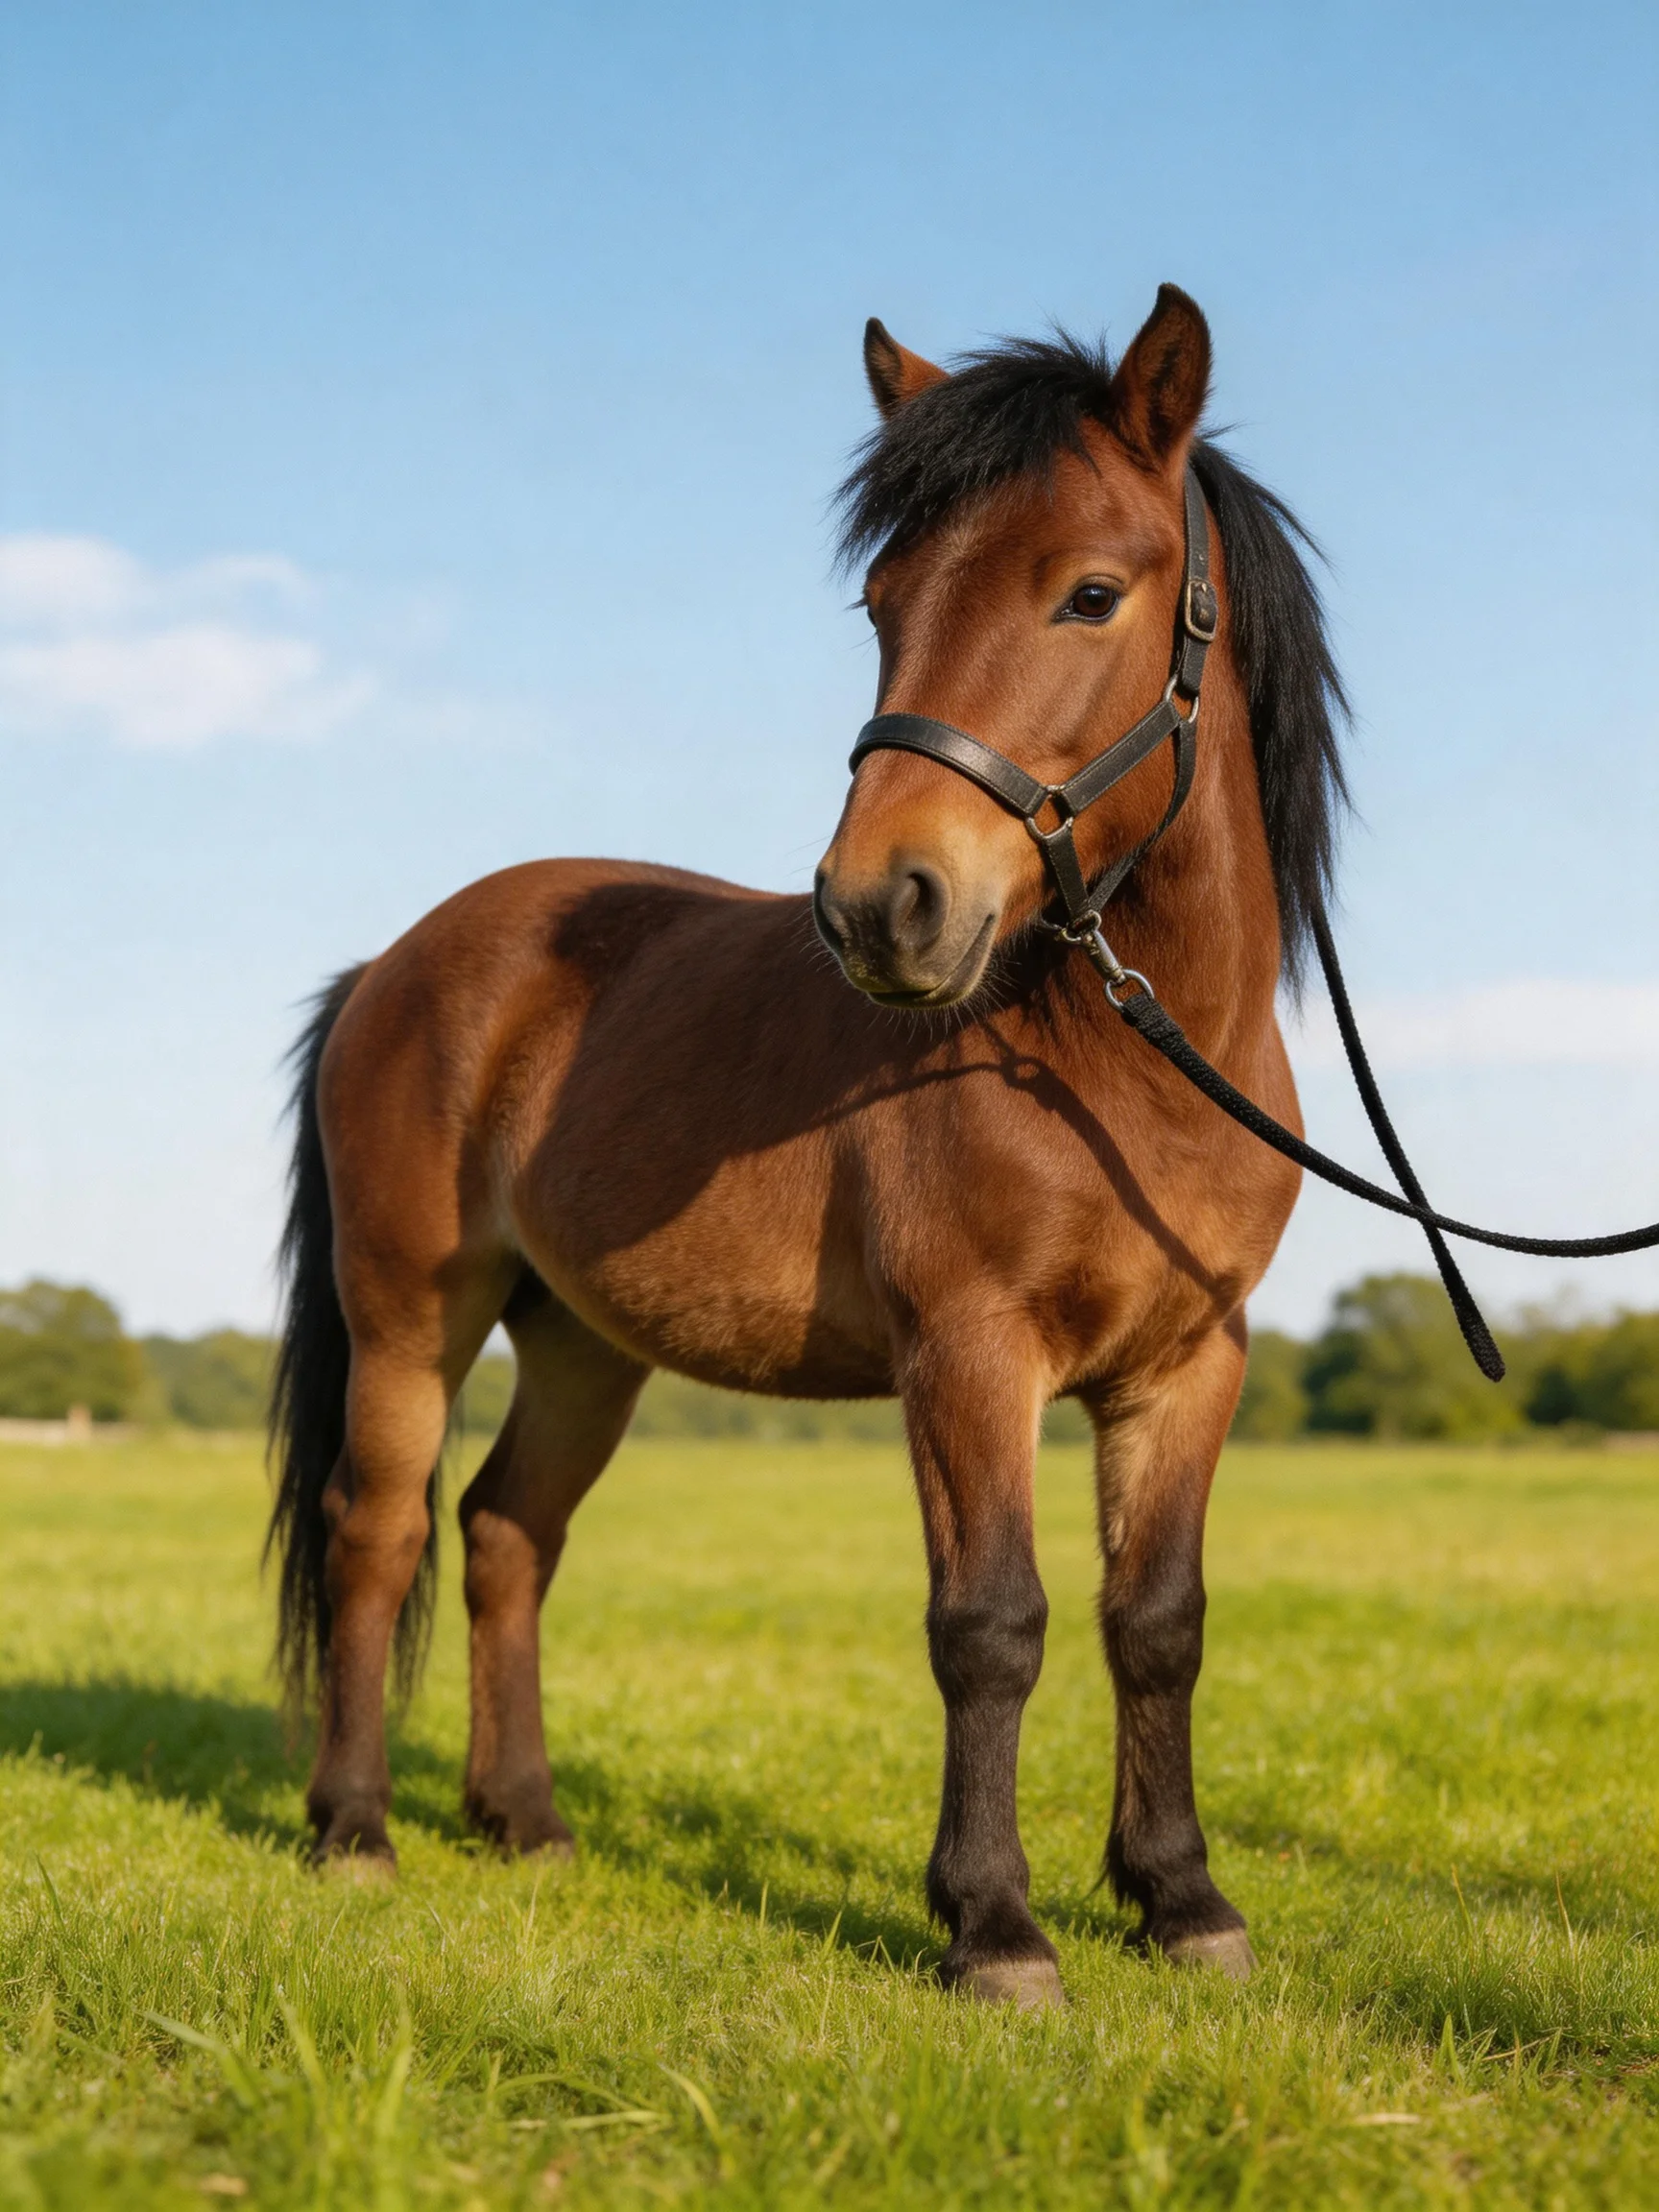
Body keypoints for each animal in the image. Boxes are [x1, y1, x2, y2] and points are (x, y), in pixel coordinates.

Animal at [268, 283, 1347, 2006]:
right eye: (882, 600)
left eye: (1090, 593)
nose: (881, 905)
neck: (1114, 1060)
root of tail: (396, 961)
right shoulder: (966, 1351)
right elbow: (991, 1623)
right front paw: (994, 1927)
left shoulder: (1190, 1364)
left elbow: (1156, 1619)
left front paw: (1182, 1901)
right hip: (407, 1317)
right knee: (376, 1530)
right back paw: (356, 1829)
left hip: (581, 1342)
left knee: (507, 1532)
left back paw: (527, 1823)